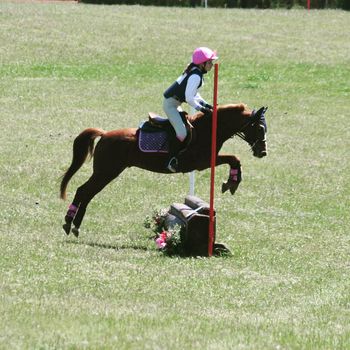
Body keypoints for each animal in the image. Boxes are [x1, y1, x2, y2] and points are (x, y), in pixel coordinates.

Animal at [60, 102, 268, 237]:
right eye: (259, 128)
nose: (263, 152)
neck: (209, 129)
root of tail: (104, 135)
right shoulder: (203, 162)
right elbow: (234, 158)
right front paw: (231, 182)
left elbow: (234, 159)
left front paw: (231, 182)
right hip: (106, 172)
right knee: (84, 191)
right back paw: (70, 223)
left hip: (107, 172)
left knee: (87, 193)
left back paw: (75, 225)